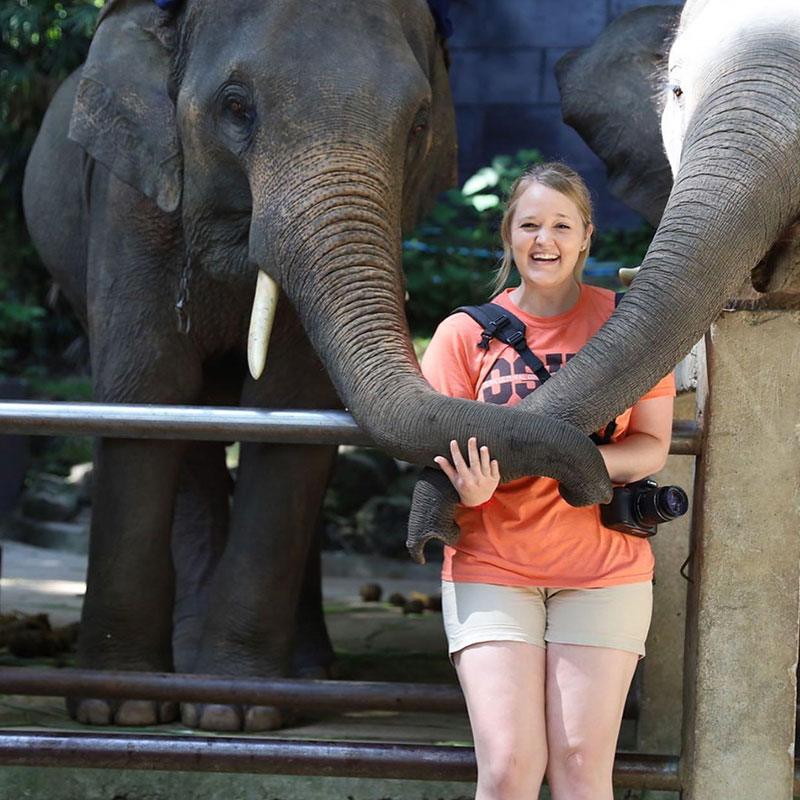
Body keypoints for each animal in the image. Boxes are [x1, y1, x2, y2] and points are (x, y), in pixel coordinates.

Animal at [22, 0, 608, 731]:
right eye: (236, 107)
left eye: (418, 126)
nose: (596, 488)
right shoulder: (130, 203)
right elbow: (145, 392)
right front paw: (119, 710)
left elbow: (291, 404)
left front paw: (237, 713)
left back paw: (296, 674)